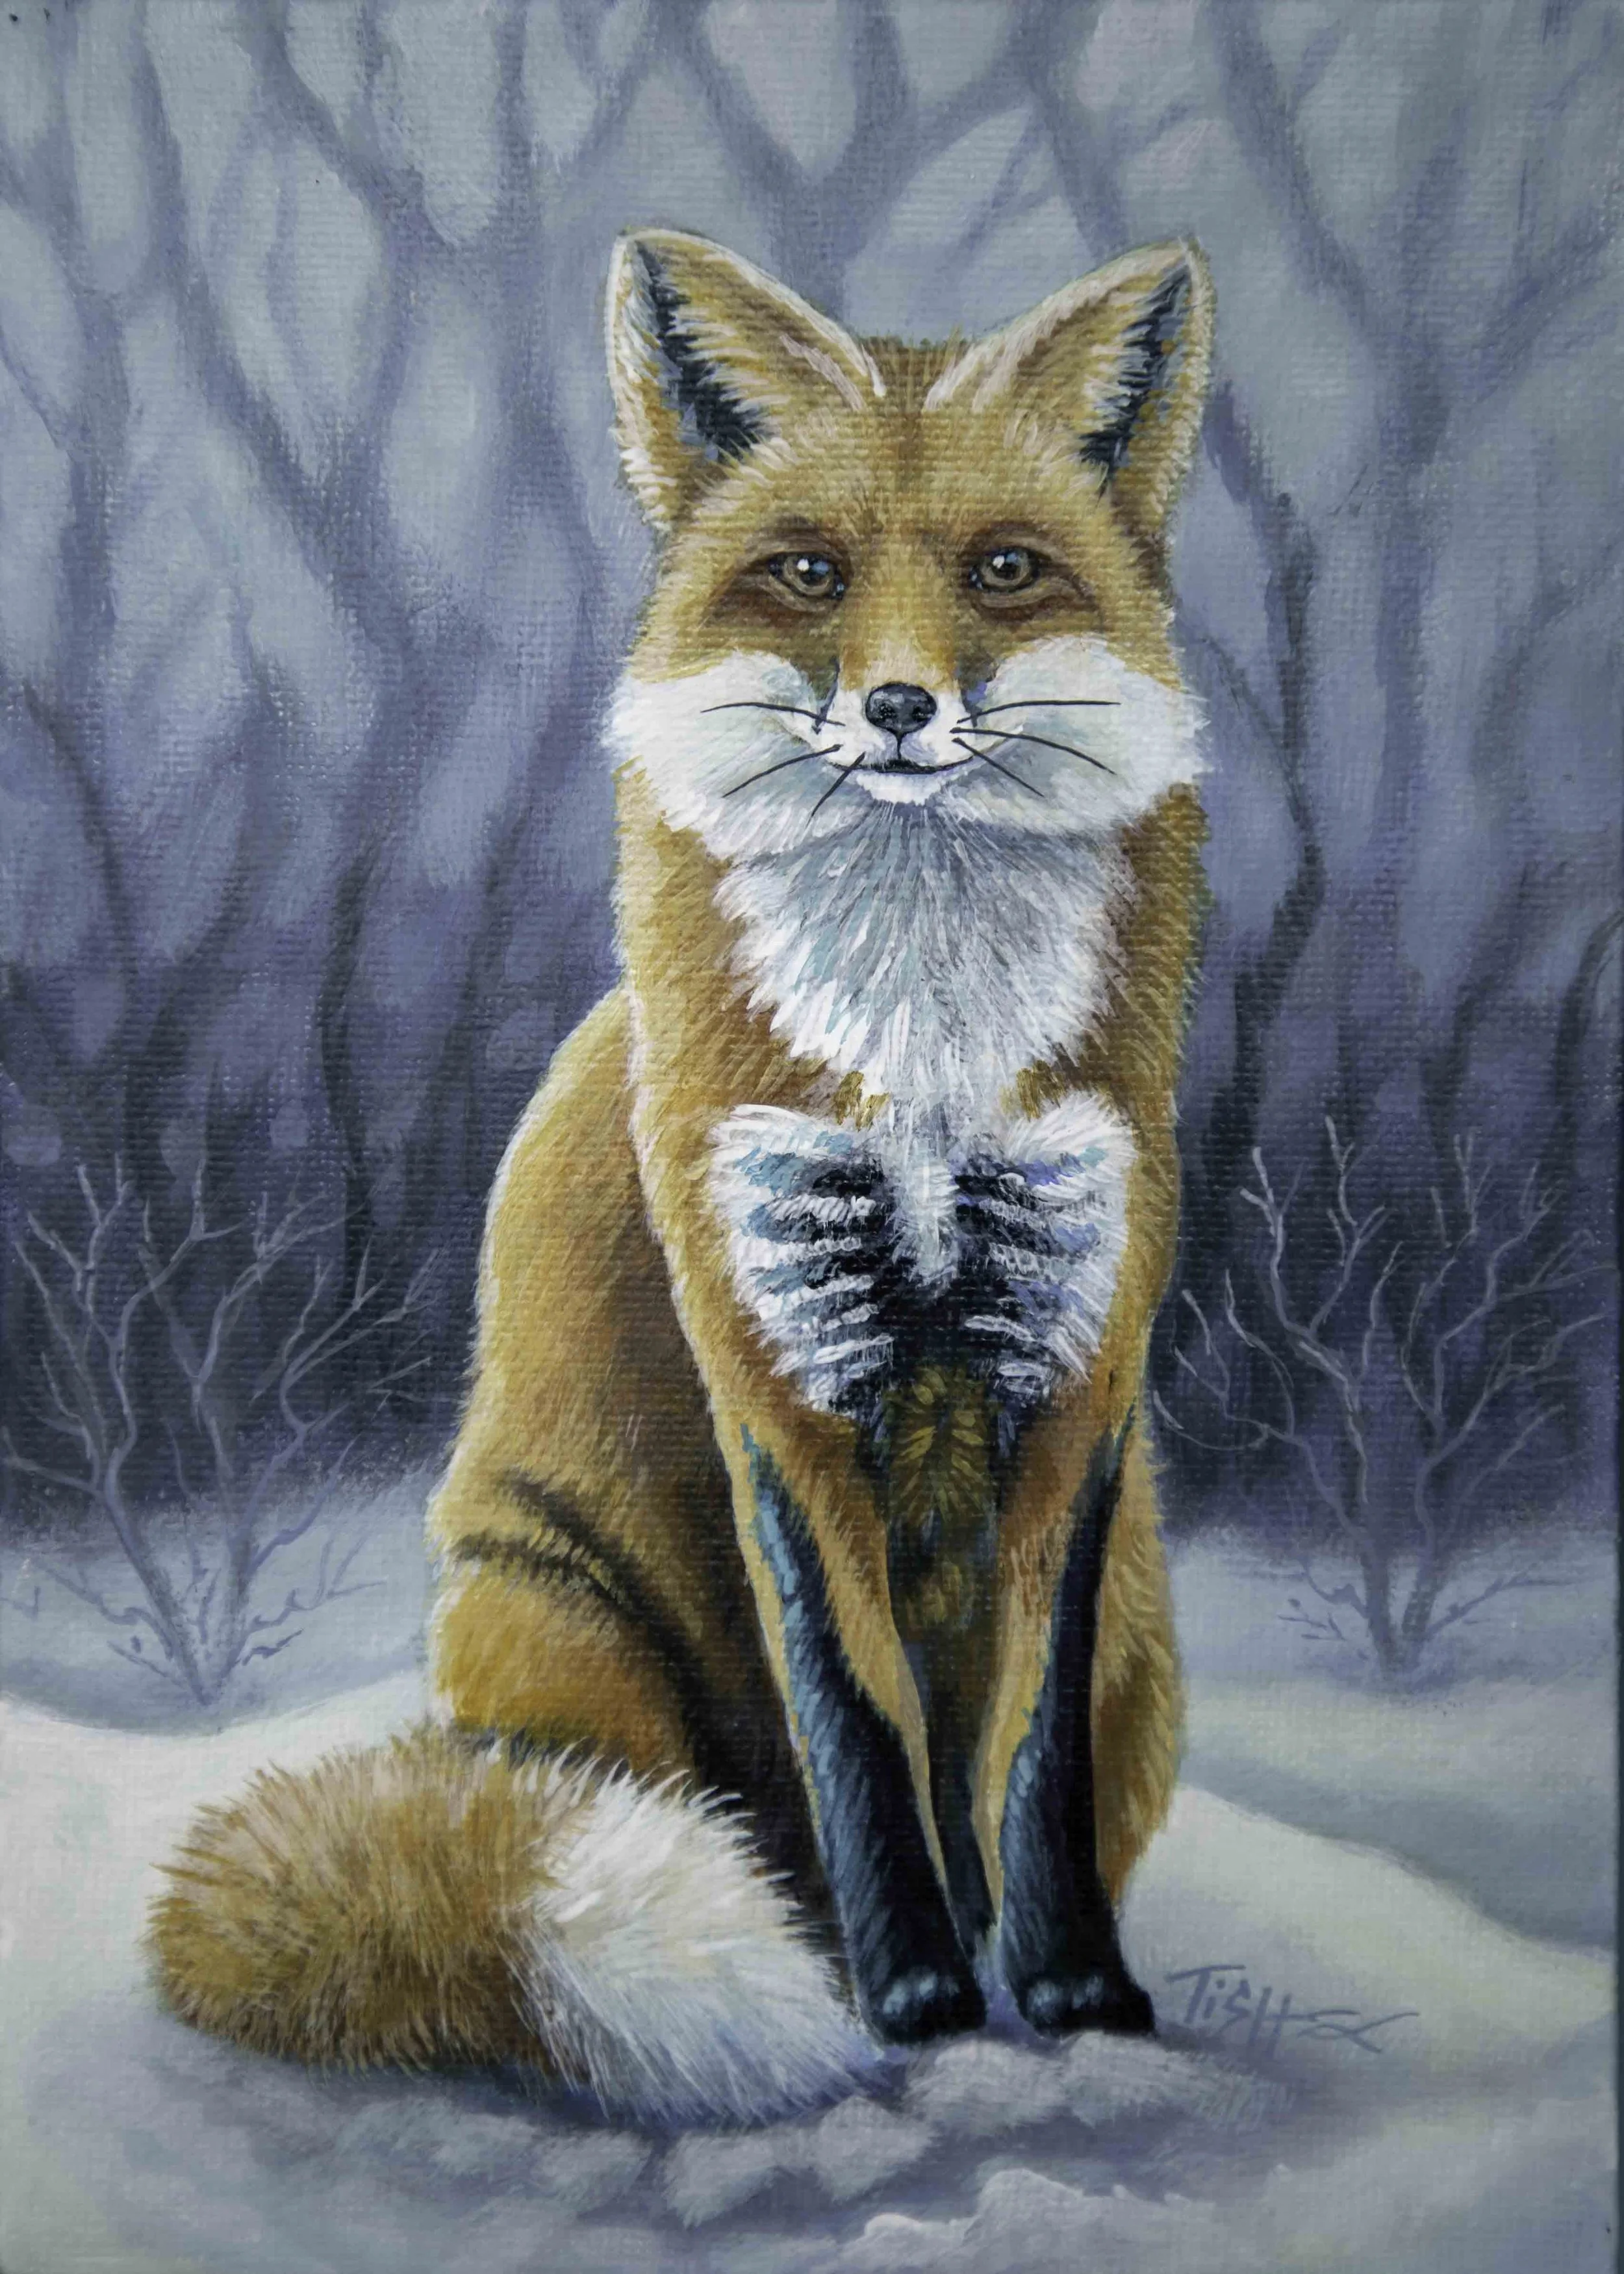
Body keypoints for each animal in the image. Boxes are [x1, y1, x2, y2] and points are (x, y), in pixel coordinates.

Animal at [149, 229, 1214, 2127]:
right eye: (806, 574)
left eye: (1004, 570)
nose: (896, 707)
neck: (922, 1067)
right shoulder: (773, 1359)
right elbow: (862, 1729)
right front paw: (915, 1992)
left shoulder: (1074, 1358)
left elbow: (1021, 1766)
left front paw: (1070, 1987)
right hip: (553, 1628)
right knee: (693, 1819)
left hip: (1148, 1655)